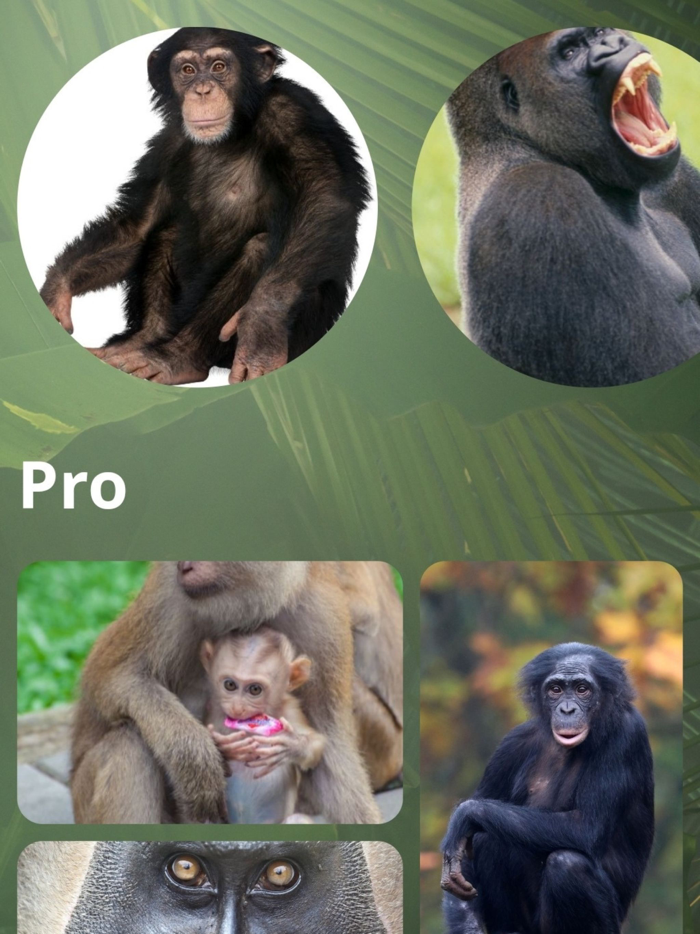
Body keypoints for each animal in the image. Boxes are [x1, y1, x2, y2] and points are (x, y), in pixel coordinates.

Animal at [40, 28, 370, 384]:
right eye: (187, 70)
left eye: (219, 66)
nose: (202, 89)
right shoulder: (168, 143)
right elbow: (137, 227)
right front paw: (55, 291)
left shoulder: (293, 114)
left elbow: (324, 196)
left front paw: (261, 325)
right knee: (164, 233)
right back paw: (140, 342)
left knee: (260, 248)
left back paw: (175, 358)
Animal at [200, 626, 325, 823]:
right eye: (230, 685)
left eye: (255, 689)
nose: (237, 708)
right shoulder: (213, 707)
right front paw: (226, 747)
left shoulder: (290, 708)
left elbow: (315, 744)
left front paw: (290, 746)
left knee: (297, 819)